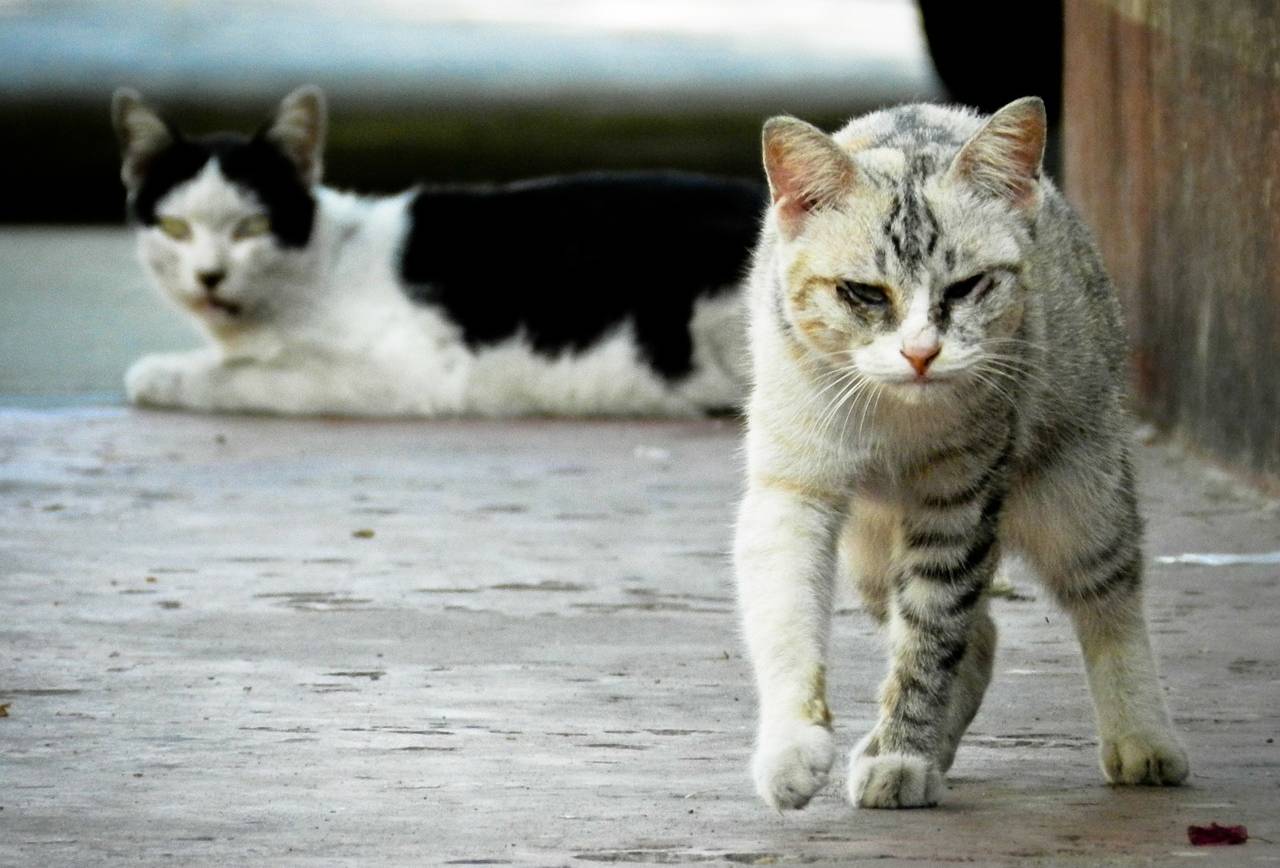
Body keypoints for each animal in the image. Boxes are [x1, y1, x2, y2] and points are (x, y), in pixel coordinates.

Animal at [110, 88, 757, 417]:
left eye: (252, 225)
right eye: (174, 227)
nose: (210, 275)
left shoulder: (405, 374)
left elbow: (246, 377)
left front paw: (164, 372)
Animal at [742, 98, 1187, 814]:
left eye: (968, 286)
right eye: (865, 293)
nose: (921, 352)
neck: (894, 417)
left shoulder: (958, 501)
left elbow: (930, 638)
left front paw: (901, 755)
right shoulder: (792, 487)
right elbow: (786, 616)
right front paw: (792, 751)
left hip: (1080, 490)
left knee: (1107, 599)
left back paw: (1142, 738)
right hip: (873, 555)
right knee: (979, 641)